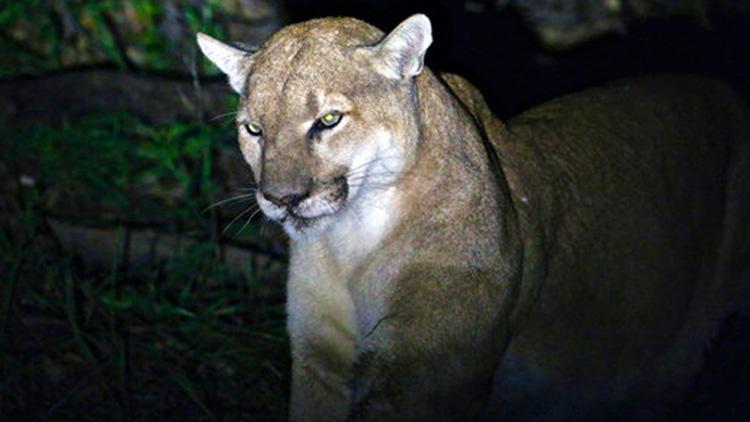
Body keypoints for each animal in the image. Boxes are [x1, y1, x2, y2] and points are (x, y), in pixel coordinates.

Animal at [195, 14, 750, 420]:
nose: (282, 198)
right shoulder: (321, 363)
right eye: (253, 129)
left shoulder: (422, 375)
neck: (351, 243)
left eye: (329, 120)